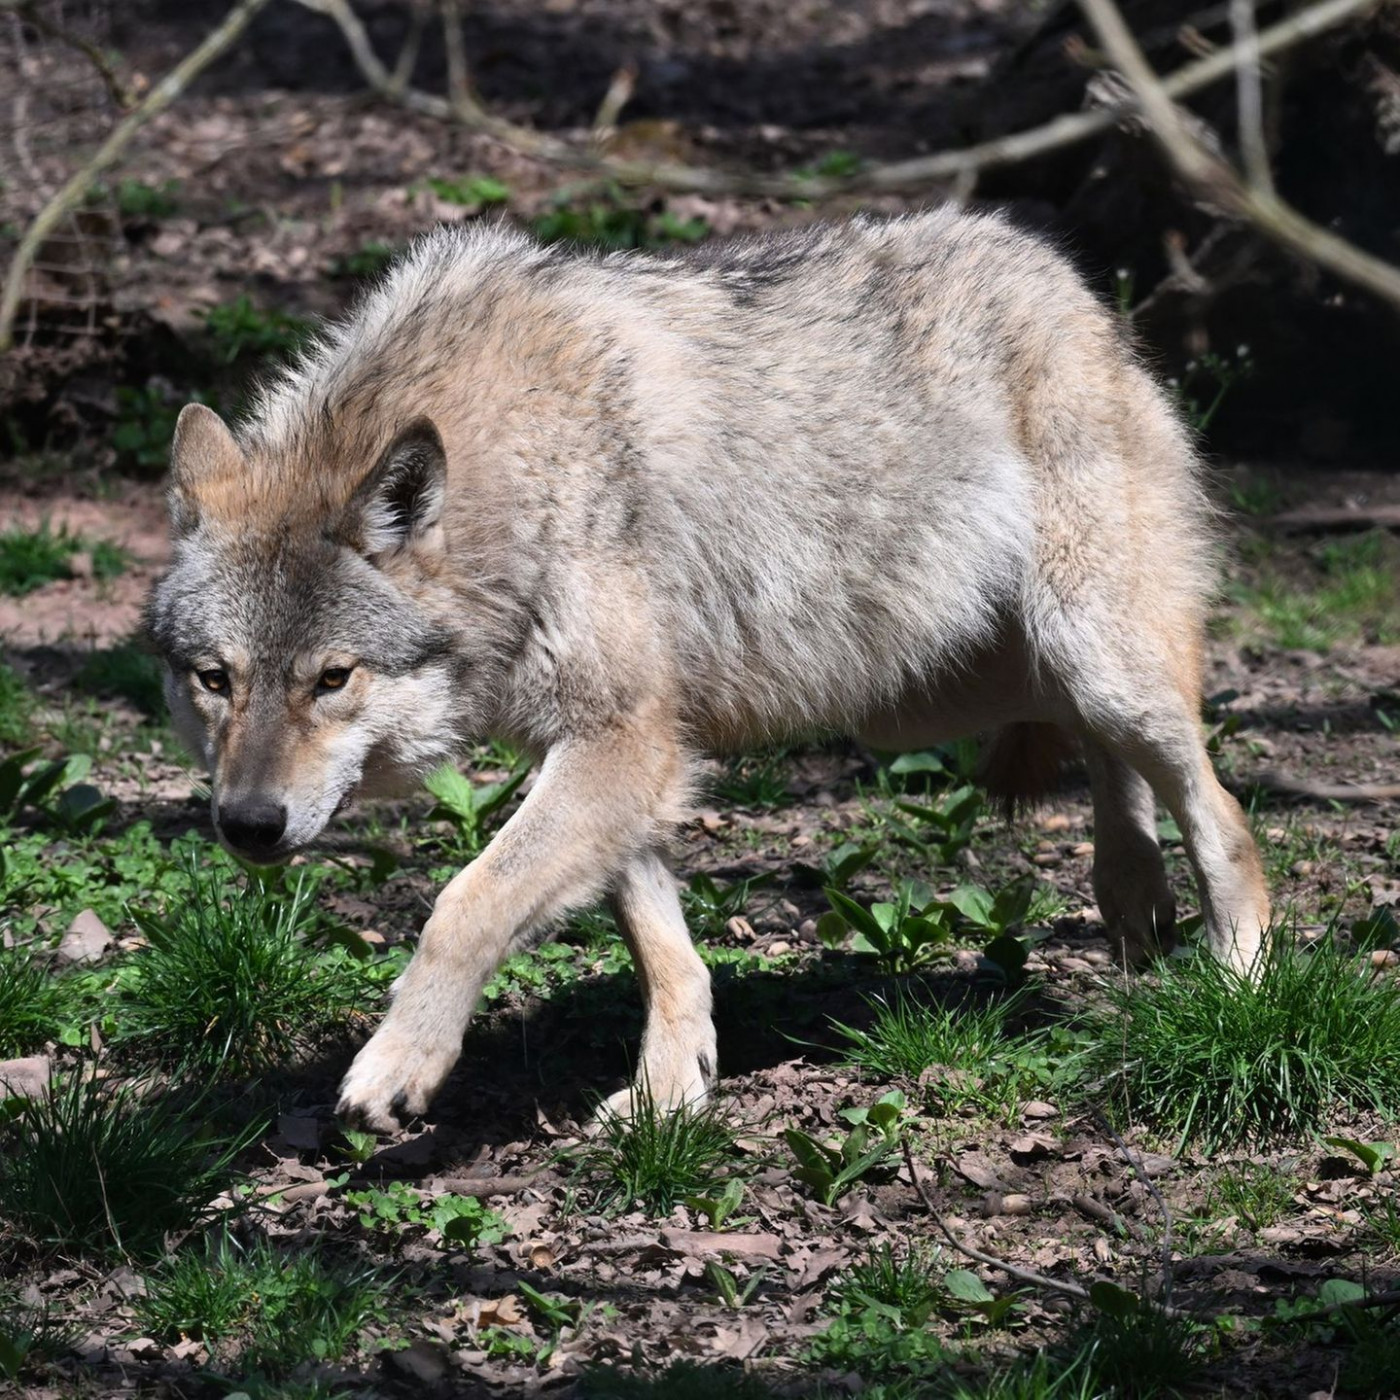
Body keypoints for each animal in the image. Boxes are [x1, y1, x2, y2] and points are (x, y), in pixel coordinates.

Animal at [147, 208, 1270, 1132]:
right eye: (215, 679)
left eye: (331, 678)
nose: (246, 825)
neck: (519, 475)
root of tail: (1069, 280)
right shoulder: (623, 750)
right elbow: (662, 947)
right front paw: (669, 1092)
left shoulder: (623, 739)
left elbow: (465, 903)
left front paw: (398, 1064)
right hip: (929, 694)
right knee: (1098, 747)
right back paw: (1130, 895)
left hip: (1083, 656)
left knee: (1219, 809)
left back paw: (1239, 982)